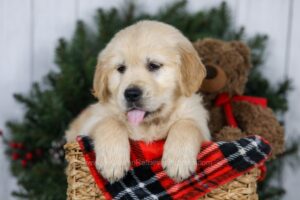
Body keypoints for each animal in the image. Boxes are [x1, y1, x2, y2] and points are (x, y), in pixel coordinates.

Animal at [66, 20, 210, 183]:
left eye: (153, 65)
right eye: (121, 68)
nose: (131, 94)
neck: (149, 126)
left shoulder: (198, 120)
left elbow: (186, 125)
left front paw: (179, 162)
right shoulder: (90, 122)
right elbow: (110, 122)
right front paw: (113, 162)